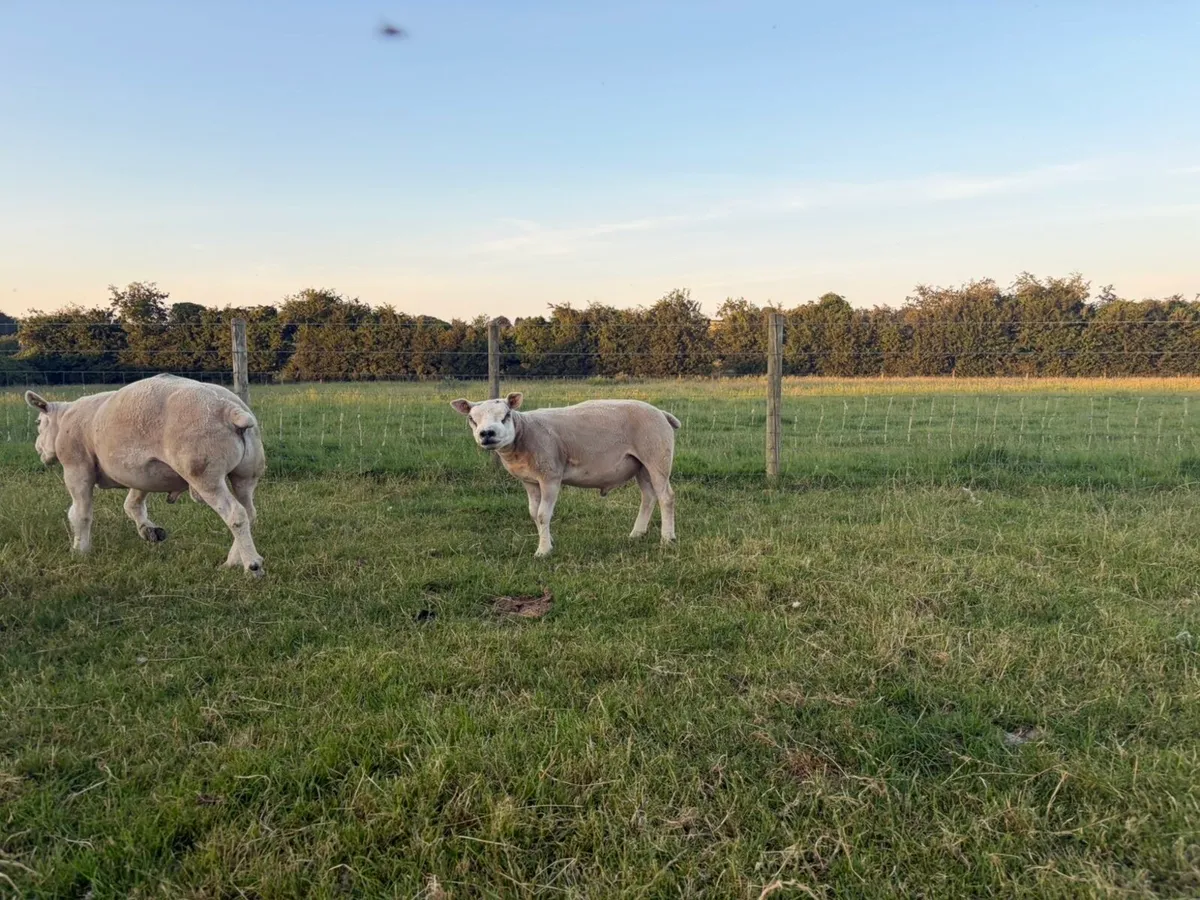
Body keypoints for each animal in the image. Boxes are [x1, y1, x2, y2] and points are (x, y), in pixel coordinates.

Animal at [25, 374, 267, 576]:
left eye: (38, 422)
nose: (38, 449)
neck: (64, 419)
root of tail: (230, 409)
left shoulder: (77, 467)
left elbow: (80, 514)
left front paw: (80, 550)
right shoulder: (141, 473)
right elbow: (133, 504)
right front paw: (149, 531)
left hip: (205, 475)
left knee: (236, 514)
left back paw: (252, 565)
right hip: (246, 474)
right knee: (249, 512)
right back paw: (233, 561)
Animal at [450, 392, 680, 557]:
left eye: (506, 416)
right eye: (471, 419)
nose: (487, 433)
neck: (524, 432)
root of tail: (661, 413)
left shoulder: (550, 476)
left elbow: (543, 514)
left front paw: (543, 551)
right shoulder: (530, 481)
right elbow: (534, 513)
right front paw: (547, 541)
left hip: (657, 456)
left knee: (666, 497)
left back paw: (667, 538)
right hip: (641, 465)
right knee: (648, 497)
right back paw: (637, 533)